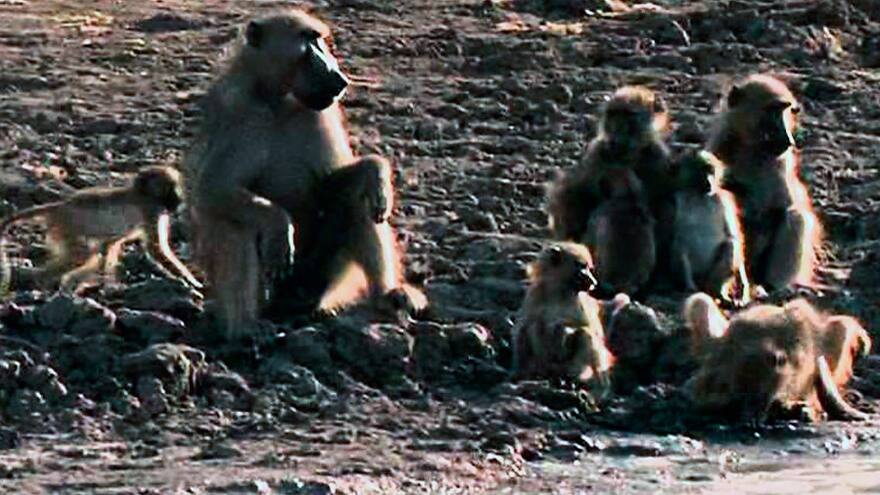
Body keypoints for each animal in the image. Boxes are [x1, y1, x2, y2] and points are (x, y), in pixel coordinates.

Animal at [0, 166, 202, 295]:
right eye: (171, 188)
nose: (179, 200)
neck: (143, 192)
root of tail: (61, 206)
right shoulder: (151, 210)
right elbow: (156, 248)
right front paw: (192, 282)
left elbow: (109, 246)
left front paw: (108, 286)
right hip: (68, 228)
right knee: (80, 256)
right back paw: (43, 284)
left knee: (90, 256)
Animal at [183, 11, 426, 336]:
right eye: (307, 42)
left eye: (319, 41)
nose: (339, 78)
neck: (279, 101)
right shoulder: (241, 114)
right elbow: (214, 188)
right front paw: (278, 225)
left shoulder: (321, 115)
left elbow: (335, 179)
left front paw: (376, 171)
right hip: (270, 291)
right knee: (233, 219)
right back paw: (245, 326)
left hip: (321, 277)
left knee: (358, 192)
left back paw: (387, 296)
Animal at [511, 243, 614, 397]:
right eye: (582, 266)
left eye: (588, 268)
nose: (593, 282)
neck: (560, 290)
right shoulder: (535, 294)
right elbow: (523, 328)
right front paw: (519, 373)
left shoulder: (581, 302)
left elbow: (591, 331)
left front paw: (562, 331)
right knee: (535, 325)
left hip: (575, 366)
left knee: (585, 335)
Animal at [668, 150, 750, 304]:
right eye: (701, 170)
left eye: (710, 170)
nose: (709, 182)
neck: (699, 195)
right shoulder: (675, 201)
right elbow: (675, 239)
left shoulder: (721, 200)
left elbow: (732, 236)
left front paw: (743, 287)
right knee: (680, 246)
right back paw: (692, 288)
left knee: (730, 244)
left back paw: (717, 291)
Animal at [708, 74, 822, 291]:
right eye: (772, 110)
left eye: (785, 111)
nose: (789, 141)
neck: (751, 149)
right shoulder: (719, 148)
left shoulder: (779, 164)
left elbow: (781, 208)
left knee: (795, 216)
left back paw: (775, 286)